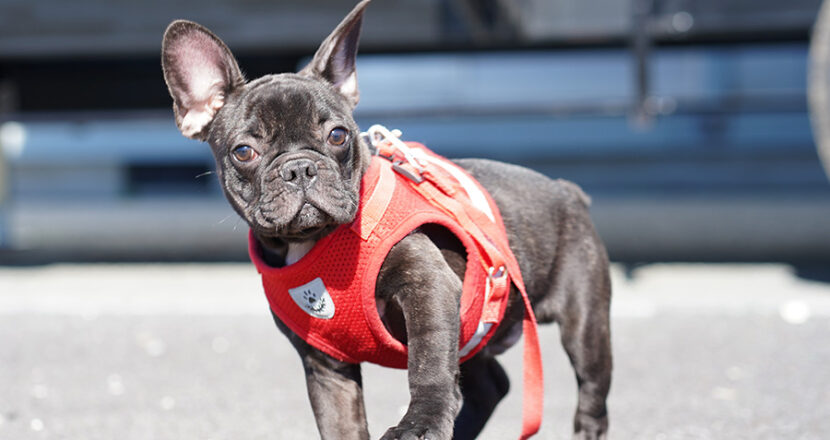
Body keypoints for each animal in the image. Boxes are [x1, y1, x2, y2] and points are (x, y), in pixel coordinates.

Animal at [162, 1, 616, 438]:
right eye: (244, 152)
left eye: (338, 135)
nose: (299, 167)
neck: (314, 242)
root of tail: (567, 190)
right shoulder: (326, 366)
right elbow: (340, 424)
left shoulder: (428, 285)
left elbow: (428, 362)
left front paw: (421, 423)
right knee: (491, 384)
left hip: (584, 324)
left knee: (590, 391)